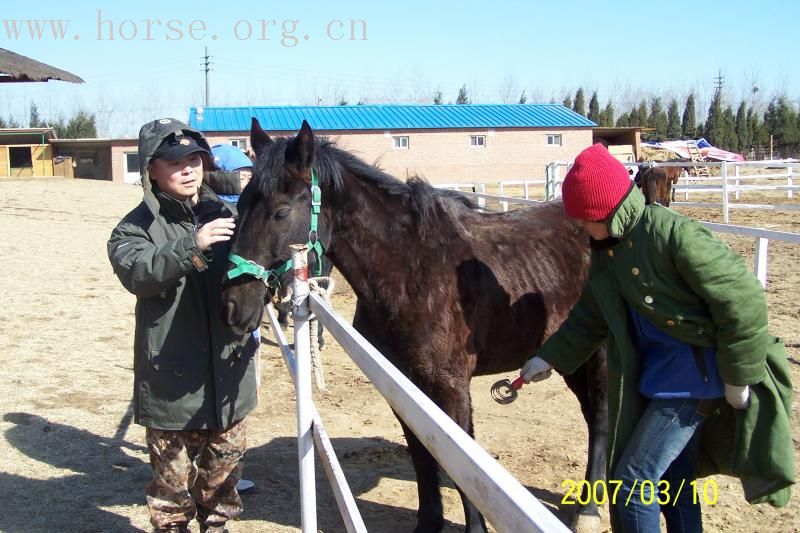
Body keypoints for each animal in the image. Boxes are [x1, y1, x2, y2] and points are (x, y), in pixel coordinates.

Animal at [222, 120, 608, 532]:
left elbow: (461, 467)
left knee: (599, 417)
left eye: (280, 212)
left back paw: (589, 509)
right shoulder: (403, 384)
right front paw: (428, 522)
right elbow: (422, 454)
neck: (412, 271)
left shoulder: (451, 387)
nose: (233, 305)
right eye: (240, 205)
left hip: (599, 354)